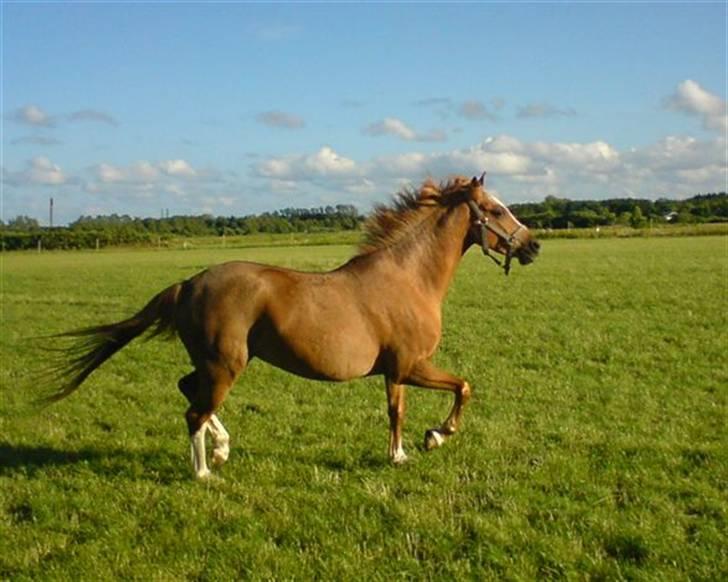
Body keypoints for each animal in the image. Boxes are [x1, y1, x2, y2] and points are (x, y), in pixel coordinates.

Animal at [45, 174, 540, 479]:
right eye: (495, 210)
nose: (533, 246)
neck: (408, 277)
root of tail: (188, 284)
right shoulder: (408, 365)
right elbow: (455, 390)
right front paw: (430, 439)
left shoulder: (397, 371)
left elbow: (412, 405)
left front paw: (410, 448)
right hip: (225, 365)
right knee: (193, 411)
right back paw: (204, 472)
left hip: (214, 363)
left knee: (187, 390)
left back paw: (222, 448)